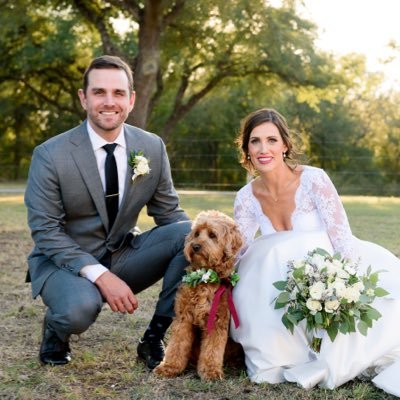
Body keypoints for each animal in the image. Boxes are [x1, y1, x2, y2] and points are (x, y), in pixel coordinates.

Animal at [154, 211, 244, 380]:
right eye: (196, 233)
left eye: (212, 235)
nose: (195, 246)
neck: (204, 278)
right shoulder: (183, 319)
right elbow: (177, 345)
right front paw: (169, 367)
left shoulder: (217, 321)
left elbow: (212, 350)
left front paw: (210, 371)